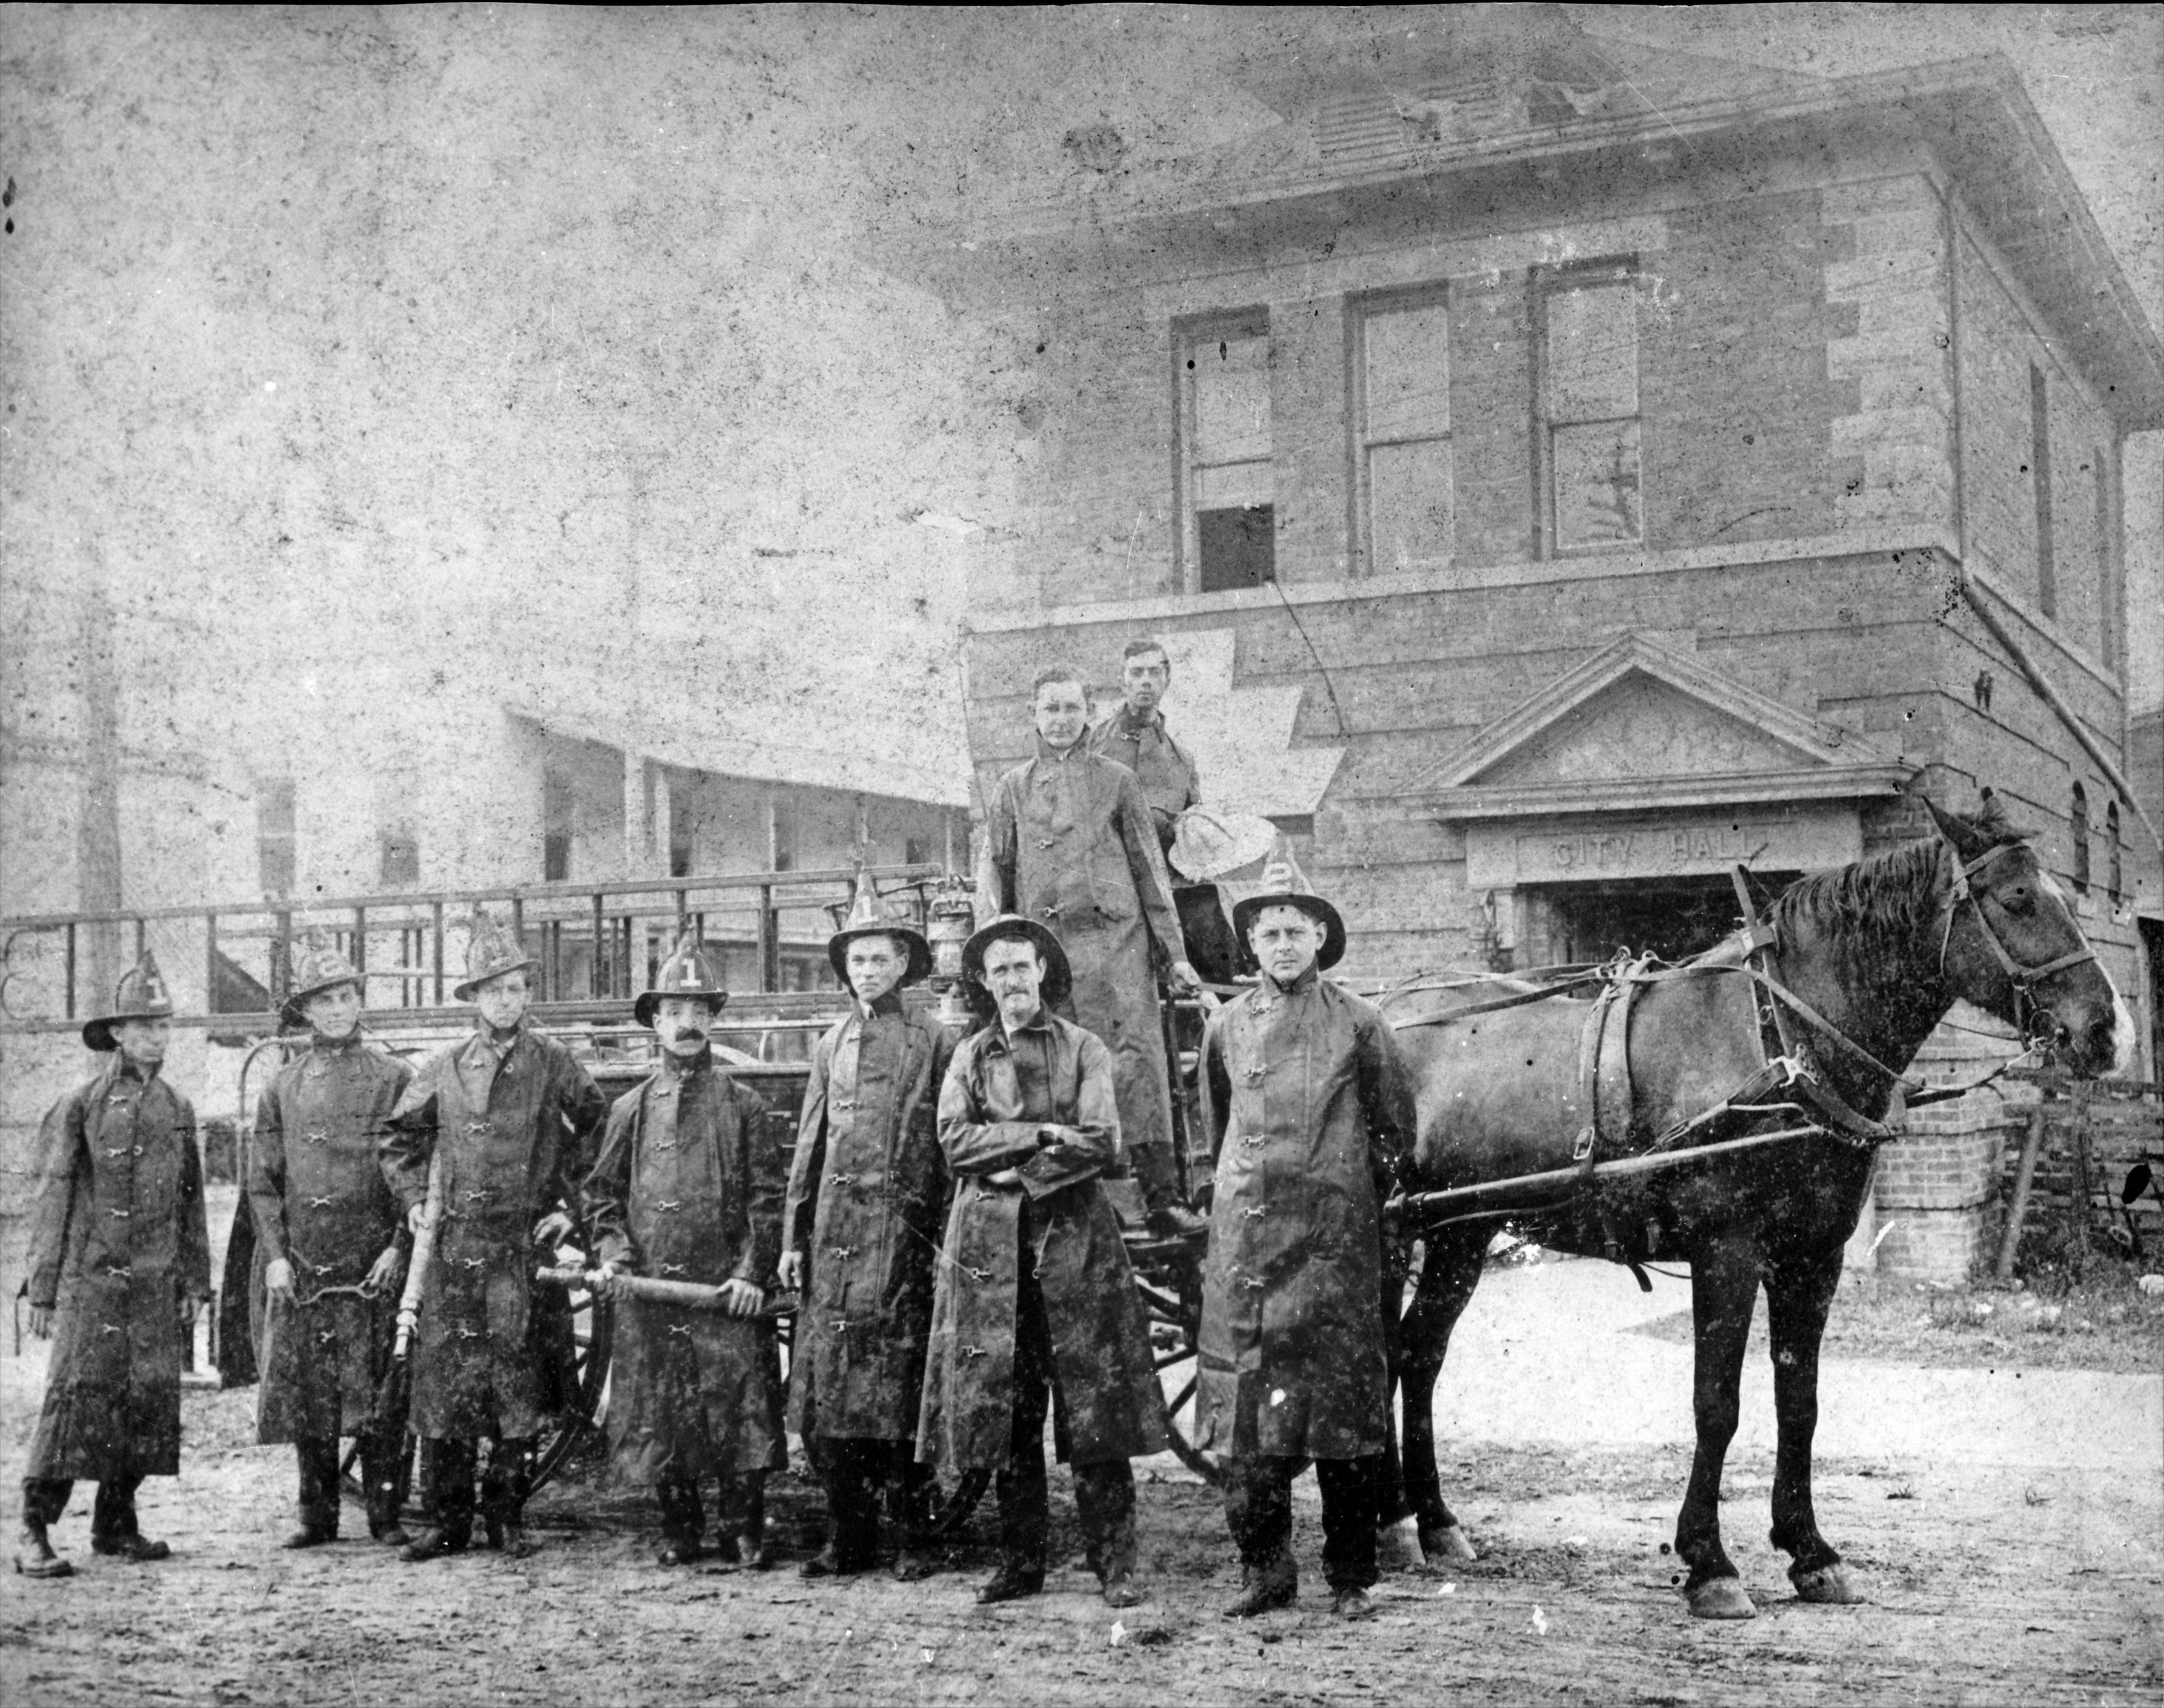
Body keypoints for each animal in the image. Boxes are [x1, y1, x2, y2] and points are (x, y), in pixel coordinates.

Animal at [1368, 792, 2129, 1619]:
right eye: (2018, 897)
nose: (2106, 1029)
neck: (1780, 1037)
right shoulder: (1726, 1251)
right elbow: (1718, 1403)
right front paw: (1711, 1563)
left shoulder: (1814, 1256)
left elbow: (1800, 1401)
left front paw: (1811, 1552)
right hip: (1390, 1231)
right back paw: (1386, 1519)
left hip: (1459, 1234)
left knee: (1418, 1353)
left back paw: (1432, 1521)